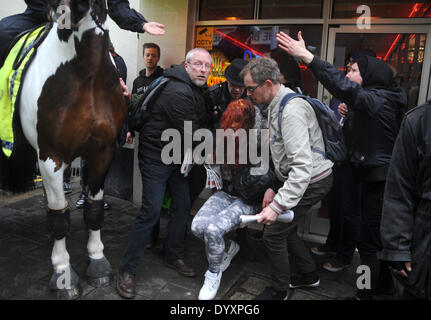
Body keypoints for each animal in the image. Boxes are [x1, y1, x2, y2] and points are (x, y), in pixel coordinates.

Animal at [1, 0, 125, 300]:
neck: (85, 72)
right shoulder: (50, 158)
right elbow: (59, 217)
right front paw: (62, 272)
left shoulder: (102, 152)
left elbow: (93, 209)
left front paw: (97, 259)